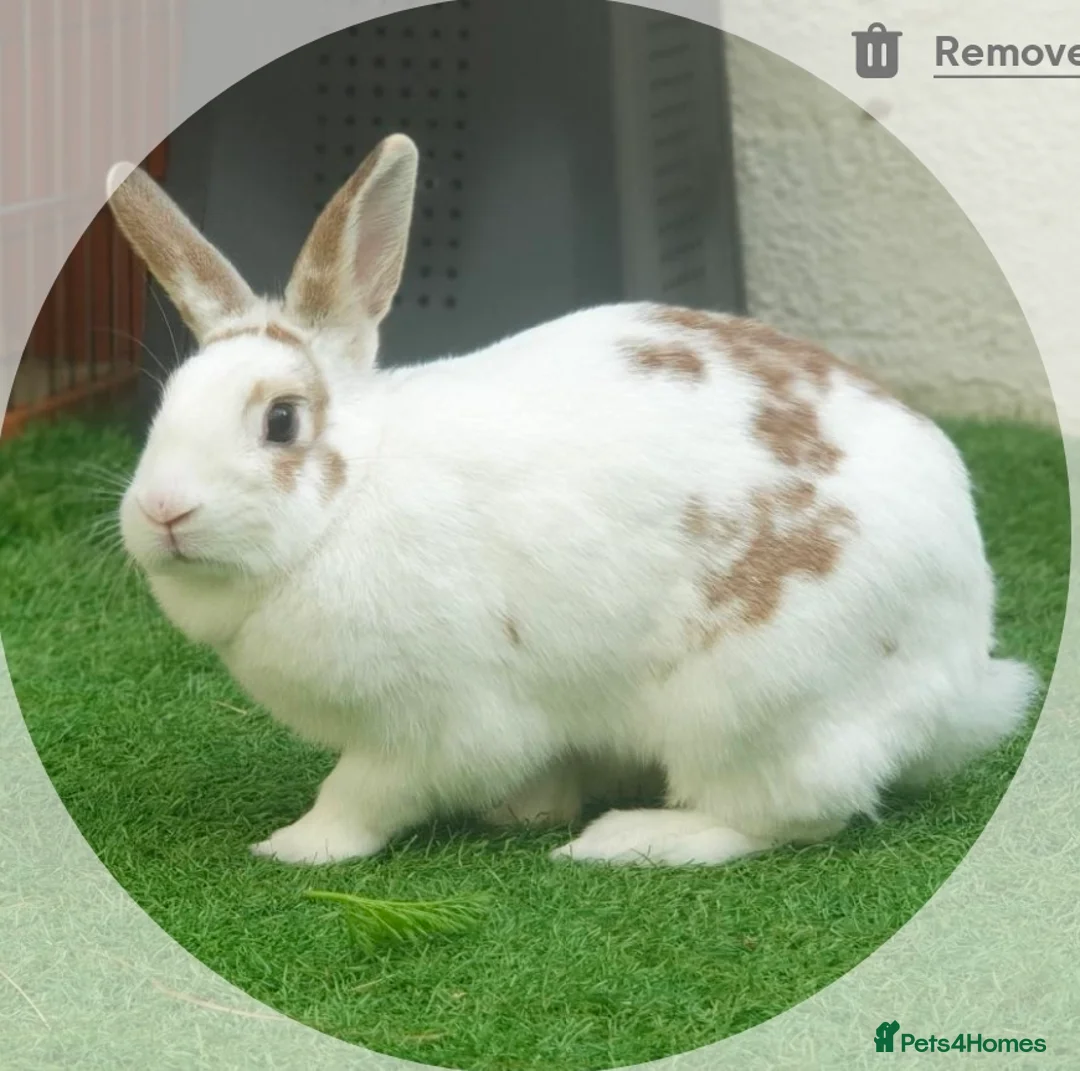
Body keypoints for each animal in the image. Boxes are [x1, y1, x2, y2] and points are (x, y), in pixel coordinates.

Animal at [105, 133, 1039, 867]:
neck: (348, 502)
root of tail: (956, 674)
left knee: (785, 816)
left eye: (282, 420)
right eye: (167, 406)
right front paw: (528, 805)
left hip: (753, 705)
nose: (162, 511)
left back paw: (631, 839)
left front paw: (297, 845)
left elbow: (365, 791)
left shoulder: (438, 724)